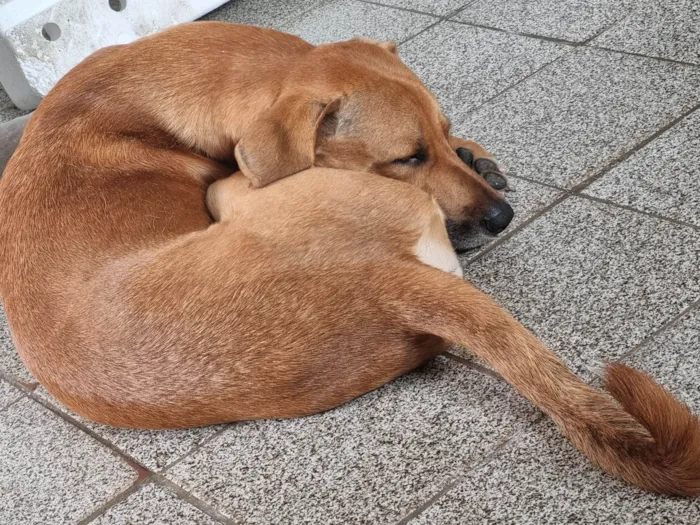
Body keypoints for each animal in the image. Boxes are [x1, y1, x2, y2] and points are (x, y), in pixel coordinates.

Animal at [0, 21, 696, 496]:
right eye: (406, 158)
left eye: (443, 131)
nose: (501, 218)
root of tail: (381, 283)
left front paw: (476, 154)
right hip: (229, 195)